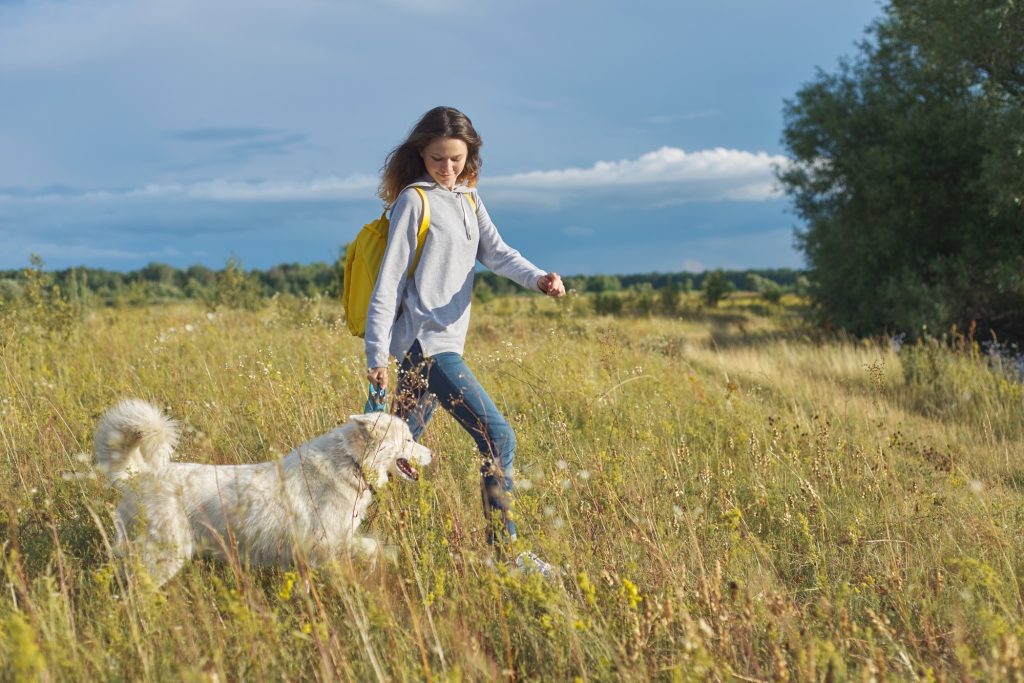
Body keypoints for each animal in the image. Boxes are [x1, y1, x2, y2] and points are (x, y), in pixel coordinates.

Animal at [93, 401, 432, 589]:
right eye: (408, 439)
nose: (432, 454)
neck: (352, 462)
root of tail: (139, 476)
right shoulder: (325, 545)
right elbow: (371, 549)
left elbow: (372, 549)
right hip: (162, 558)